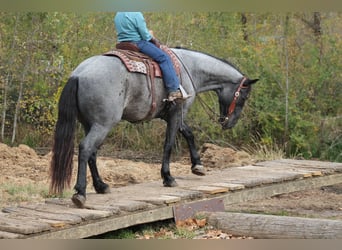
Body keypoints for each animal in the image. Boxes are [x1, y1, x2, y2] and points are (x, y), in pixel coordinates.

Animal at [49, 47, 258, 207]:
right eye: (244, 96)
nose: (228, 123)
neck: (189, 67)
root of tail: (78, 74)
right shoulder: (177, 113)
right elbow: (169, 144)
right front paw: (168, 177)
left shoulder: (174, 115)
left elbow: (188, 133)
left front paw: (197, 165)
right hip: (103, 125)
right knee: (85, 148)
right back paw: (80, 192)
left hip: (90, 124)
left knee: (92, 152)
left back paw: (101, 186)